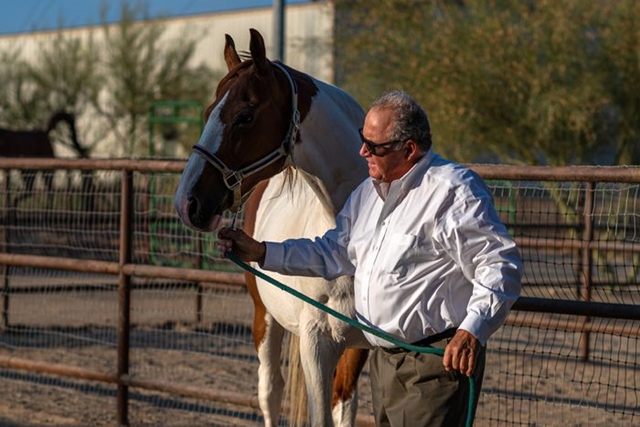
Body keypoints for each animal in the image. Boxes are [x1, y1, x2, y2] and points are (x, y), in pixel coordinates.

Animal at [175, 28, 372, 426]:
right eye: (207, 113)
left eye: (244, 116)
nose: (187, 203)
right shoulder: (316, 344)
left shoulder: (364, 347)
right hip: (264, 318)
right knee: (270, 391)